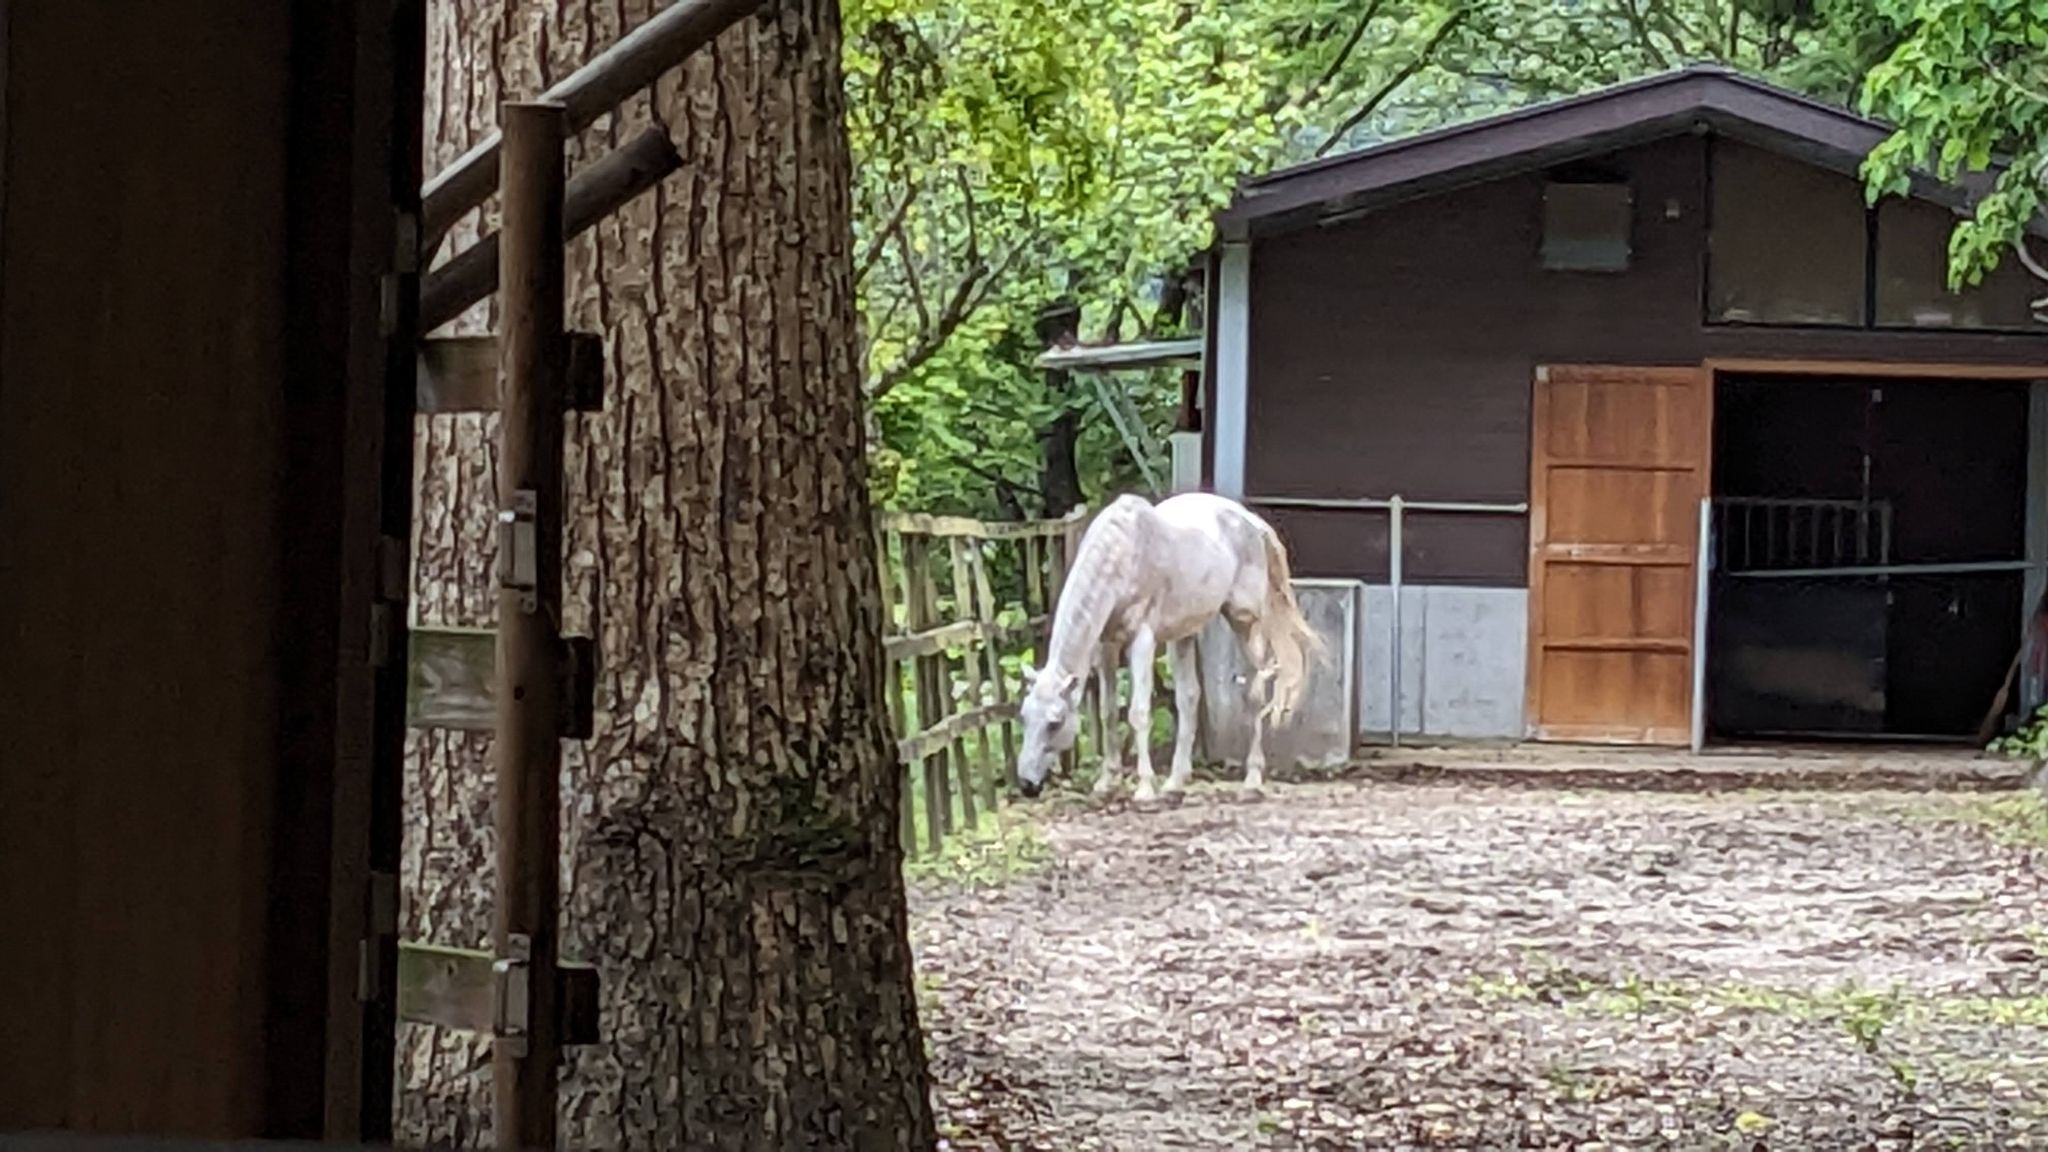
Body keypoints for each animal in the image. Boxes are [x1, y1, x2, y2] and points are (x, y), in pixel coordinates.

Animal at [1014, 491, 1320, 802]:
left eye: (1055, 723)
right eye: (1024, 717)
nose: (1027, 785)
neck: (1124, 553)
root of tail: (1251, 521)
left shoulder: (1142, 641)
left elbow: (1138, 713)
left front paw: (1145, 788)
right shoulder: (1107, 645)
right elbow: (1108, 712)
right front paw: (1107, 781)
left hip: (1244, 622)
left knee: (1254, 693)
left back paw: (1253, 778)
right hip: (1184, 634)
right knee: (1189, 697)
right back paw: (1175, 781)